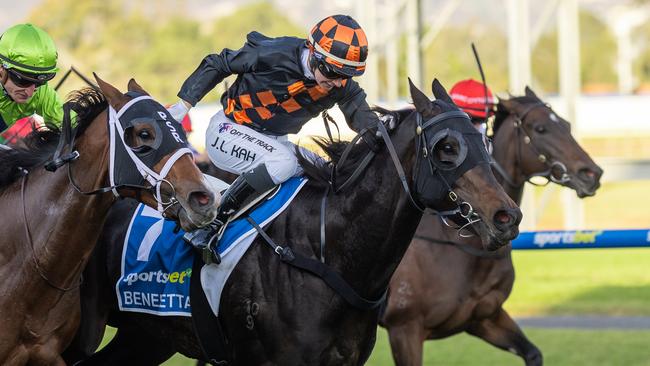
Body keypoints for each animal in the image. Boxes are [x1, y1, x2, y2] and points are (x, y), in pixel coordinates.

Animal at [380, 86, 604, 366]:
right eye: (540, 128)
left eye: (566, 124)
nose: (591, 174)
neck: (458, 245)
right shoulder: (404, 328)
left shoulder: (485, 317)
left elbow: (533, 353)